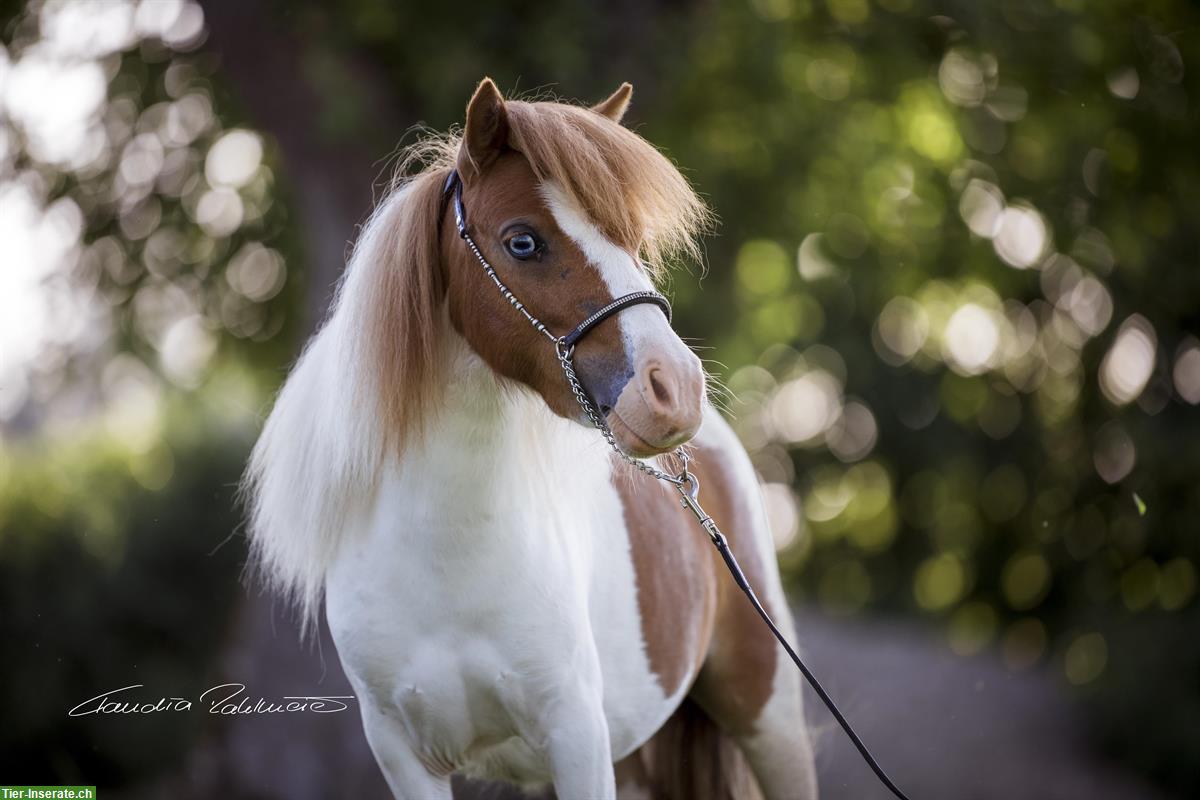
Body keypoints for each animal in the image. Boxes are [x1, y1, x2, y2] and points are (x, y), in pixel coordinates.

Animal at [248, 76, 820, 800]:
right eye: (523, 242)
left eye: (631, 238)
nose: (676, 388)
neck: (448, 560)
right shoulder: (405, 756)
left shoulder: (577, 739)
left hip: (769, 719)